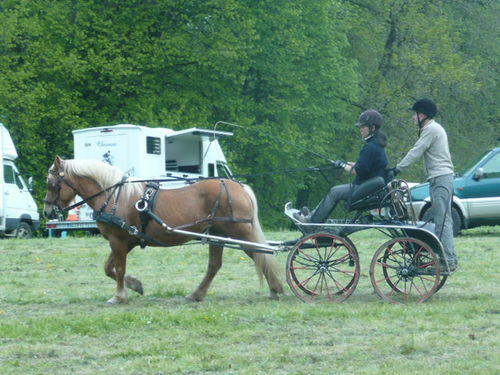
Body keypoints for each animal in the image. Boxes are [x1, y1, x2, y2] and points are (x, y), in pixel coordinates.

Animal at [43, 156, 284, 306]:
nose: (47, 211)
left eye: (51, 183)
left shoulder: (118, 240)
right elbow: (108, 268)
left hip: (239, 233)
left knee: (261, 254)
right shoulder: (125, 241)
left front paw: (119, 296)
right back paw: (197, 295)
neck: (114, 196)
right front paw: (135, 285)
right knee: (215, 265)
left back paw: (276, 288)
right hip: (217, 235)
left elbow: (118, 269)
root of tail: (238, 186)